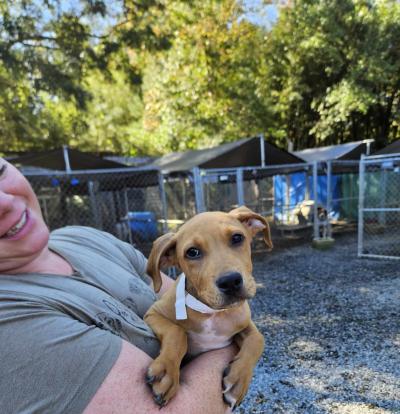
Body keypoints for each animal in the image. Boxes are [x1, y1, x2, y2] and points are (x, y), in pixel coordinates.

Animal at [144, 205, 272, 410]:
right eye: (192, 252)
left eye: (237, 238)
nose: (230, 282)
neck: (213, 312)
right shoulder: (153, 313)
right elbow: (177, 332)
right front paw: (166, 371)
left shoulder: (245, 323)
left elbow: (258, 340)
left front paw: (238, 381)